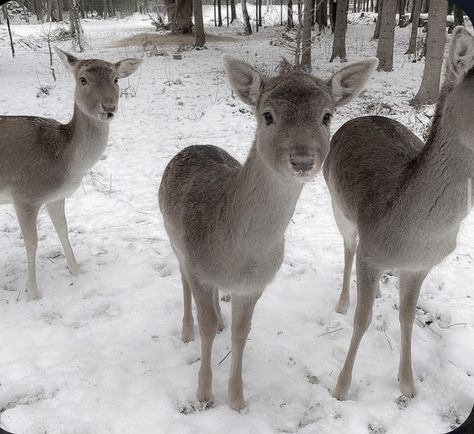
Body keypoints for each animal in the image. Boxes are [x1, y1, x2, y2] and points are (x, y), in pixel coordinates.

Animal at [0, 47, 142, 298]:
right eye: (83, 79)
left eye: (116, 79)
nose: (108, 107)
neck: (66, 166)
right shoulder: (24, 195)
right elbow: (31, 242)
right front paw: (32, 292)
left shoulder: (56, 197)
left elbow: (63, 230)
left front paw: (76, 270)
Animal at [159, 54, 378, 410]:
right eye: (268, 115)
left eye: (327, 115)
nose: (302, 159)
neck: (239, 254)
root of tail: (191, 146)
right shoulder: (198, 267)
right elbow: (206, 326)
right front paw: (204, 393)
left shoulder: (255, 285)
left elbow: (241, 332)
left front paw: (237, 399)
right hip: (173, 239)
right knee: (182, 280)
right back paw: (186, 330)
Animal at [324, 26, 474, 400]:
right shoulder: (370, 250)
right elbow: (362, 319)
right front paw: (341, 386)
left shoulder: (421, 266)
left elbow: (407, 316)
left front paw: (408, 384)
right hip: (337, 206)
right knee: (348, 248)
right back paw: (343, 301)